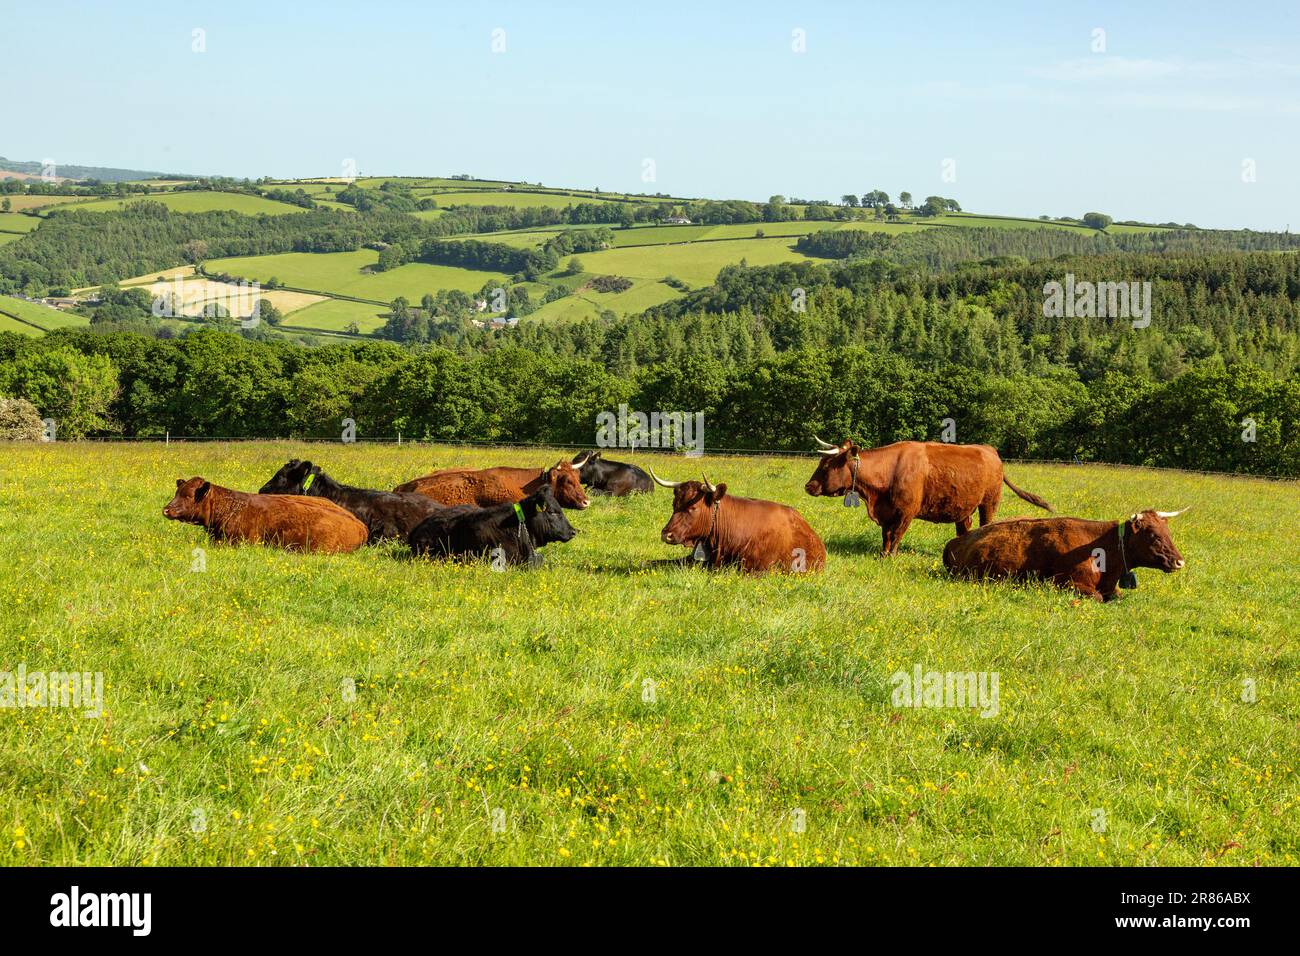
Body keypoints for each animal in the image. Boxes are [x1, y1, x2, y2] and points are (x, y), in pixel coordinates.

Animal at [804, 437, 1053, 555]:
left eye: (827, 465)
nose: (808, 486)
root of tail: (990, 450)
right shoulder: (887, 512)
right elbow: (886, 536)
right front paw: (883, 554)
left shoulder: (906, 512)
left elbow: (896, 535)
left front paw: (891, 556)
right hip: (963, 507)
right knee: (964, 528)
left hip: (989, 503)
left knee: (985, 523)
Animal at [942, 509, 1187, 602]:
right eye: (1154, 535)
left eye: (1168, 532)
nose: (1179, 561)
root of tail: (956, 541)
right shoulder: (1065, 582)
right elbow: (1097, 597)